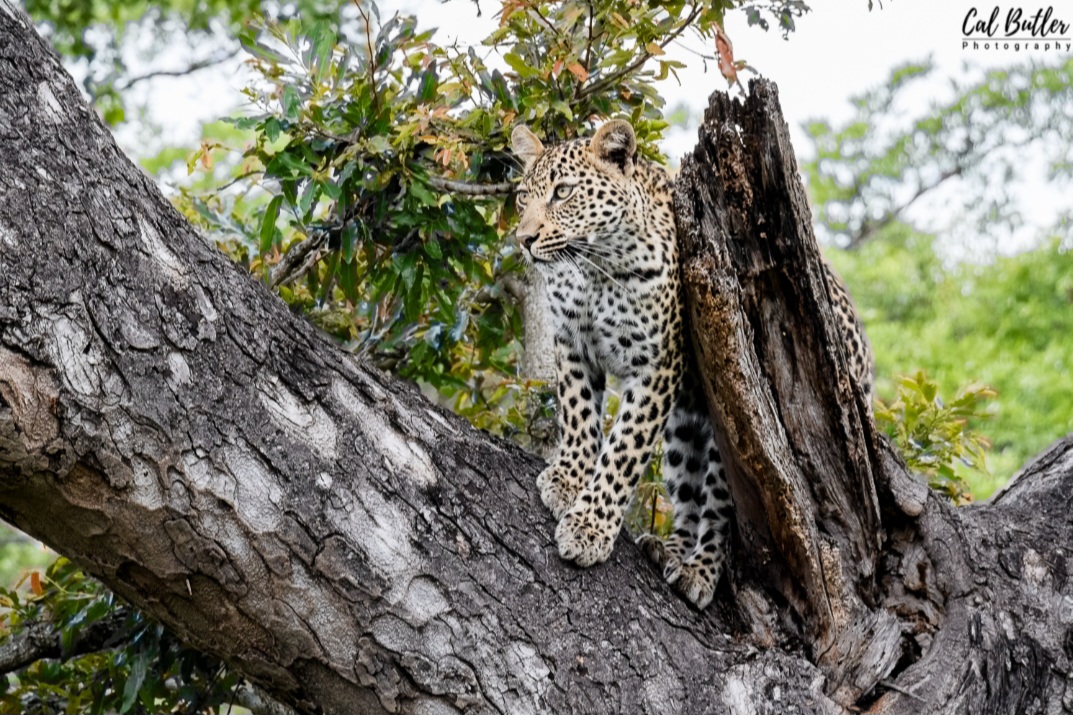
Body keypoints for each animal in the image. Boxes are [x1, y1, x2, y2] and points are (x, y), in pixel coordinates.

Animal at [510, 119, 874, 610]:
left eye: (563, 192)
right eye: (521, 197)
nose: (524, 240)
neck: (595, 268)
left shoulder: (658, 364)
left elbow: (623, 451)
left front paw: (589, 527)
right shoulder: (573, 343)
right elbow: (579, 415)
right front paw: (568, 479)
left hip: (739, 427)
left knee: (722, 511)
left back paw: (697, 570)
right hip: (685, 423)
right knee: (685, 488)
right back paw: (669, 548)